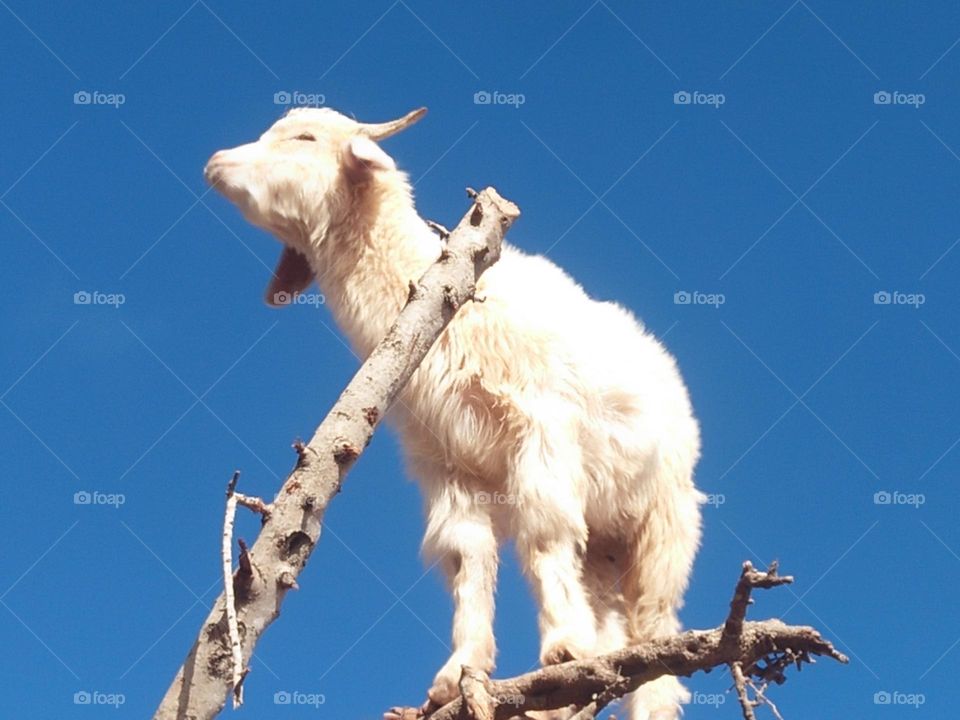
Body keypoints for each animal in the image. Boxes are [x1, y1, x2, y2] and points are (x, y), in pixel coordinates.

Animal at [204, 107, 704, 720]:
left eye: (305, 137)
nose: (215, 164)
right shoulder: (447, 464)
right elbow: (466, 555)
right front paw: (458, 673)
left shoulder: (541, 431)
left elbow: (543, 532)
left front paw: (561, 645)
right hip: (607, 542)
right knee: (610, 620)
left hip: (665, 523)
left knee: (654, 634)